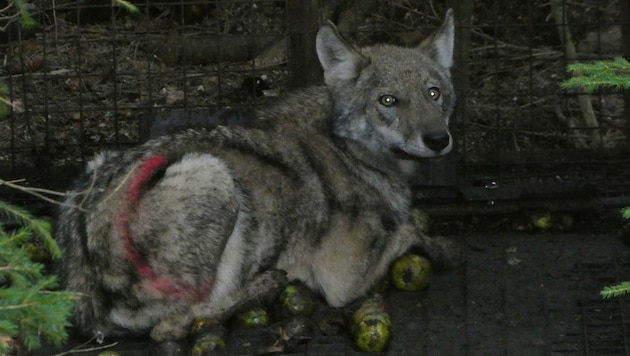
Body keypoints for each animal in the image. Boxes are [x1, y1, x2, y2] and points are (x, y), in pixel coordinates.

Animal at [56, 9, 462, 340]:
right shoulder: (342, 280)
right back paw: (266, 285)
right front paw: (443, 248)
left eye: (434, 93)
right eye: (388, 101)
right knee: (172, 326)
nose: (438, 139)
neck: (347, 147)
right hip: (213, 173)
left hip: (97, 166)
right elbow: (407, 231)